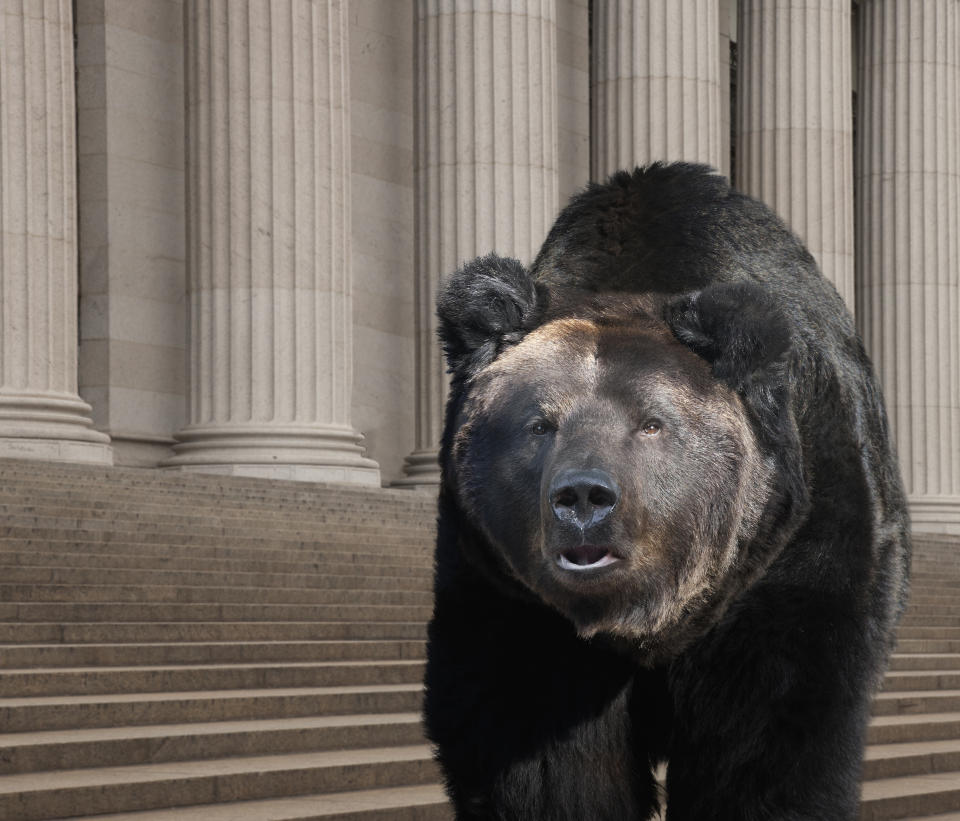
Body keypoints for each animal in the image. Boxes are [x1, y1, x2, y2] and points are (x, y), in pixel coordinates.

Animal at [424, 162, 912, 820]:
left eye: (651, 423)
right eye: (539, 423)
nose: (583, 497)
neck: (647, 619)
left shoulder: (793, 557)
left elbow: (770, 737)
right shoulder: (509, 594)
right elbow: (543, 760)